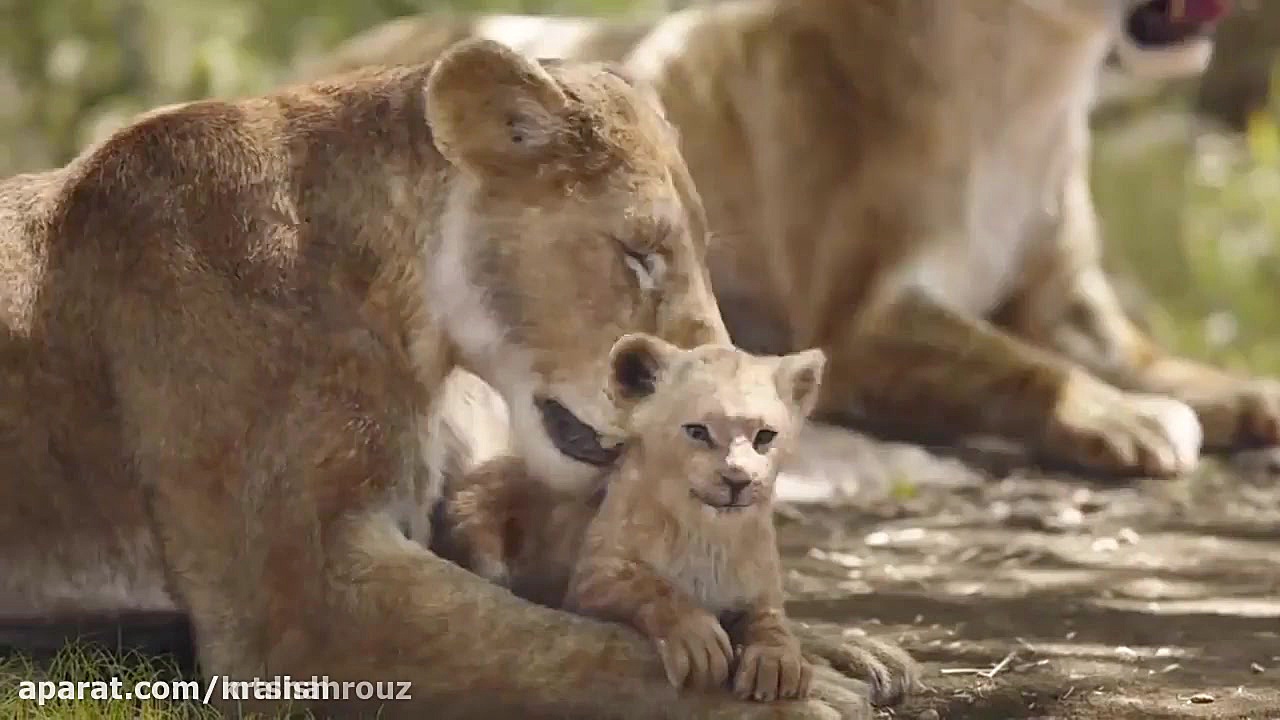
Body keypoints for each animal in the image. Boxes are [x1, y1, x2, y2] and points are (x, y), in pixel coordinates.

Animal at [312, 0, 1280, 478]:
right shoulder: (854, 321)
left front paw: (1239, 394)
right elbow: (1016, 363)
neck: (1027, 84)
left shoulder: (1068, 296)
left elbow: (1146, 354)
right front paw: (1129, 419)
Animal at [436, 334, 827, 703]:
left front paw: (777, 663)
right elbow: (647, 583)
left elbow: (773, 622)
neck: (709, 537)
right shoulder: (588, 582)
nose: (738, 479)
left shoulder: (761, 593)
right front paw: (698, 641)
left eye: (765, 436)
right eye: (697, 431)